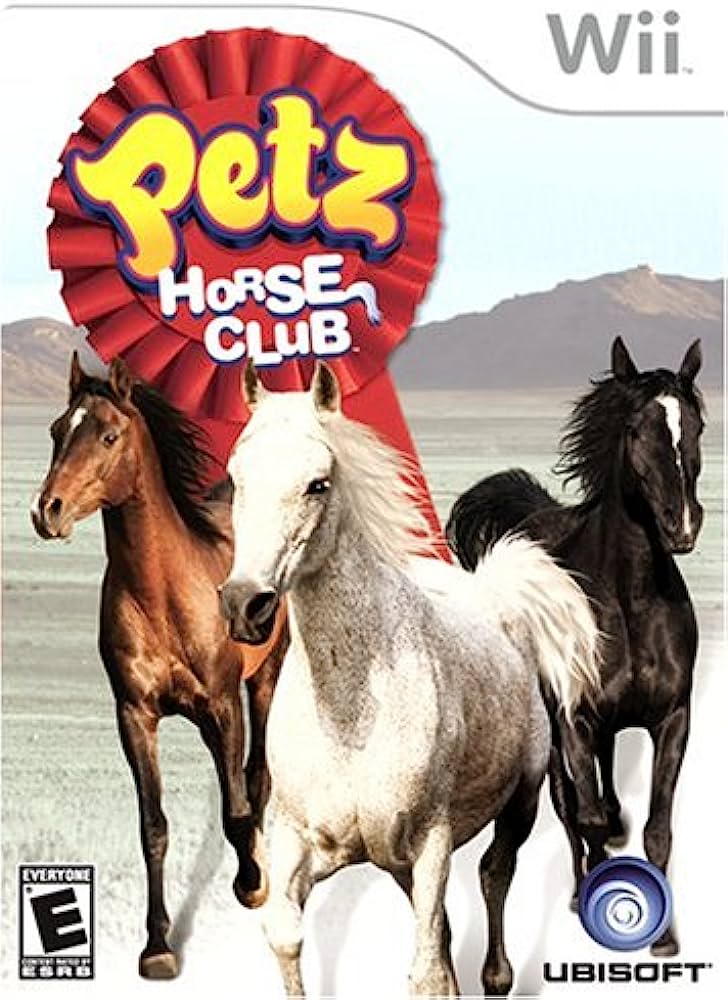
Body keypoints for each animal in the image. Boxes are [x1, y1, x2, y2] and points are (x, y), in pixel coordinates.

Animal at [31, 353, 287, 979]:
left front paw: (252, 883)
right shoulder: (135, 716)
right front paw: (158, 946)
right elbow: (154, 827)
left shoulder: (223, 706)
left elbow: (237, 807)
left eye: (108, 435)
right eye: (56, 430)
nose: (46, 511)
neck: (162, 595)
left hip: (265, 679)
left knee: (257, 775)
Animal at [218, 361, 599, 997]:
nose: (245, 603)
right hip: (396, 863)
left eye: (318, 483)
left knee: (495, 876)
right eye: (236, 479)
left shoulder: (431, 844)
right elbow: (288, 936)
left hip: (520, 802)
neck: (349, 713)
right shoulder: (298, 838)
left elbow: (424, 970)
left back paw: (497, 975)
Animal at [446, 337, 704, 956]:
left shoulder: (673, 718)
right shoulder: (575, 719)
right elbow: (583, 818)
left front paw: (665, 939)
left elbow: (658, 829)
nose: (683, 526)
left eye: (696, 425)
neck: (631, 600)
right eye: (635, 429)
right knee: (569, 808)